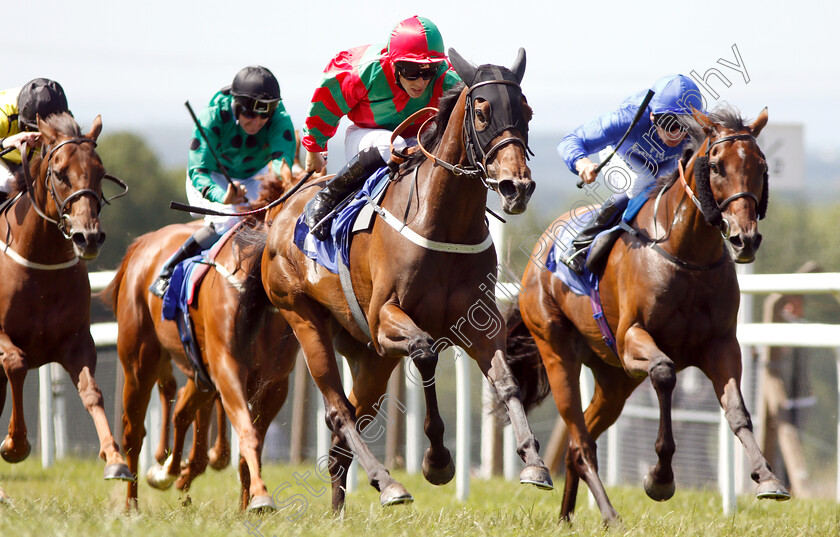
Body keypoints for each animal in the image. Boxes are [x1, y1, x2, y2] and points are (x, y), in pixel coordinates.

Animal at [0, 113, 132, 502]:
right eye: (59, 173)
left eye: (100, 171)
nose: (88, 237)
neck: (40, 261)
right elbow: (17, 362)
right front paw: (15, 445)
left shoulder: (76, 342)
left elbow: (92, 392)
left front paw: (114, 457)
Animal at [105, 168, 300, 510]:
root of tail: (143, 243)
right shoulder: (227, 368)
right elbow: (247, 432)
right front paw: (260, 497)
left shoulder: (275, 383)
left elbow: (249, 443)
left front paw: (247, 506)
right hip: (138, 360)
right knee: (133, 432)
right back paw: (133, 503)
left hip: (197, 369)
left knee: (182, 408)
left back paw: (170, 472)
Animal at [236, 47, 552, 510]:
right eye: (482, 112)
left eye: (526, 112)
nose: (517, 187)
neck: (442, 222)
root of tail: (278, 216)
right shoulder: (386, 318)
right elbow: (425, 352)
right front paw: (437, 461)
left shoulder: (480, 322)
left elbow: (505, 381)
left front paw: (533, 462)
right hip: (303, 318)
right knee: (338, 411)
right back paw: (388, 483)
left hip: (369, 356)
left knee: (345, 430)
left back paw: (341, 510)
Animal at [506, 105, 796, 524]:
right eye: (716, 166)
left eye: (761, 166)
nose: (745, 238)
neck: (688, 256)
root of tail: (539, 250)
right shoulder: (633, 340)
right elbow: (664, 373)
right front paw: (659, 478)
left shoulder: (722, 345)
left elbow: (737, 410)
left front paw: (767, 478)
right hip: (557, 352)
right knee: (580, 440)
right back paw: (609, 514)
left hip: (614, 380)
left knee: (580, 443)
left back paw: (568, 518)